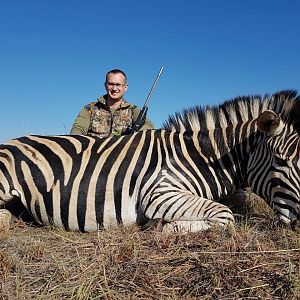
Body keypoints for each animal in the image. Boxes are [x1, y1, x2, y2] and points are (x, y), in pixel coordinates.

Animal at [0, 89, 298, 232]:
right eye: (280, 160)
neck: (197, 157)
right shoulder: (160, 193)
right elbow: (225, 215)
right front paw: (164, 227)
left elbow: (231, 206)